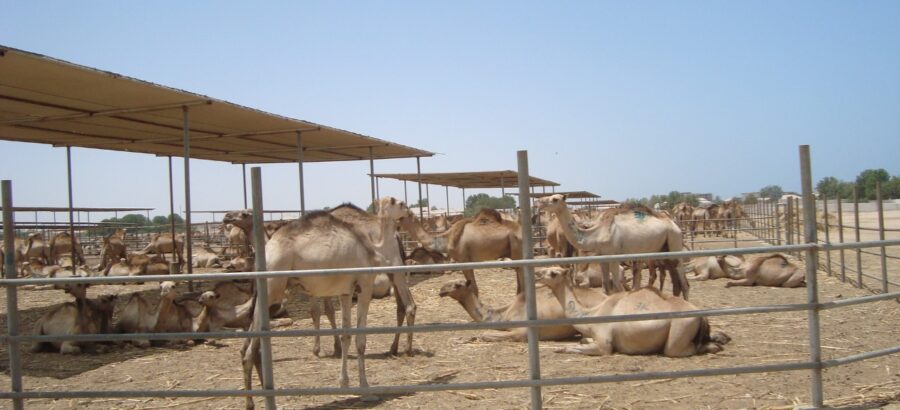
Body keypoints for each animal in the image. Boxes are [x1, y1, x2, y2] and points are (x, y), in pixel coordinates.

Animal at [241, 197, 408, 409]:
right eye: (400, 204)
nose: (409, 212)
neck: (373, 248)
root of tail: (265, 254)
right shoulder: (365, 285)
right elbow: (361, 339)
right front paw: (366, 390)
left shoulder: (346, 291)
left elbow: (346, 335)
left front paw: (344, 383)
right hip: (272, 287)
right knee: (250, 350)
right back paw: (251, 402)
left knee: (249, 347)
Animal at [535, 267, 729, 357]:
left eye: (553, 273)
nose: (538, 273)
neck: (592, 314)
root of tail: (702, 317)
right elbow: (583, 340)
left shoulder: (604, 344)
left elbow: (577, 347)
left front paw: (561, 349)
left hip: (680, 329)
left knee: (678, 349)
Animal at [536, 194, 690, 299]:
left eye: (555, 199)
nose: (539, 202)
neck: (596, 233)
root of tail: (675, 225)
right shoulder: (602, 256)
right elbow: (605, 285)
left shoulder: (614, 256)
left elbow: (617, 285)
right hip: (665, 250)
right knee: (676, 282)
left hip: (674, 241)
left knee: (684, 283)